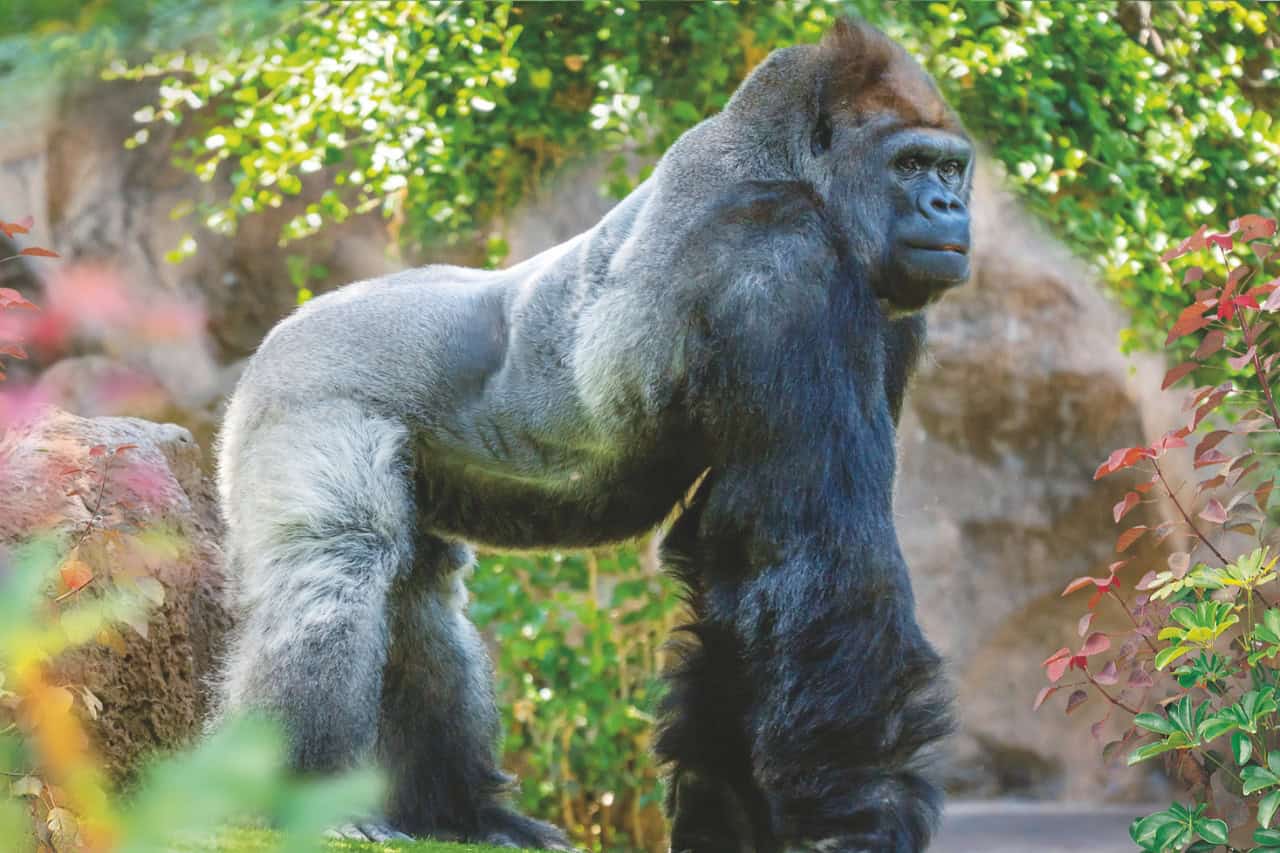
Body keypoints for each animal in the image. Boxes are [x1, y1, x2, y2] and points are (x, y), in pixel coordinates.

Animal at [213, 17, 971, 852]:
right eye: (909, 164)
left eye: (952, 167)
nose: (948, 206)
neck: (789, 162)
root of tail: (282, 329)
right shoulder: (783, 260)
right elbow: (814, 552)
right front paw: (859, 813)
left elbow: (738, 556)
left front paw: (728, 807)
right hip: (302, 394)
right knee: (335, 567)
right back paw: (297, 797)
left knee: (418, 591)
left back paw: (461, 811)